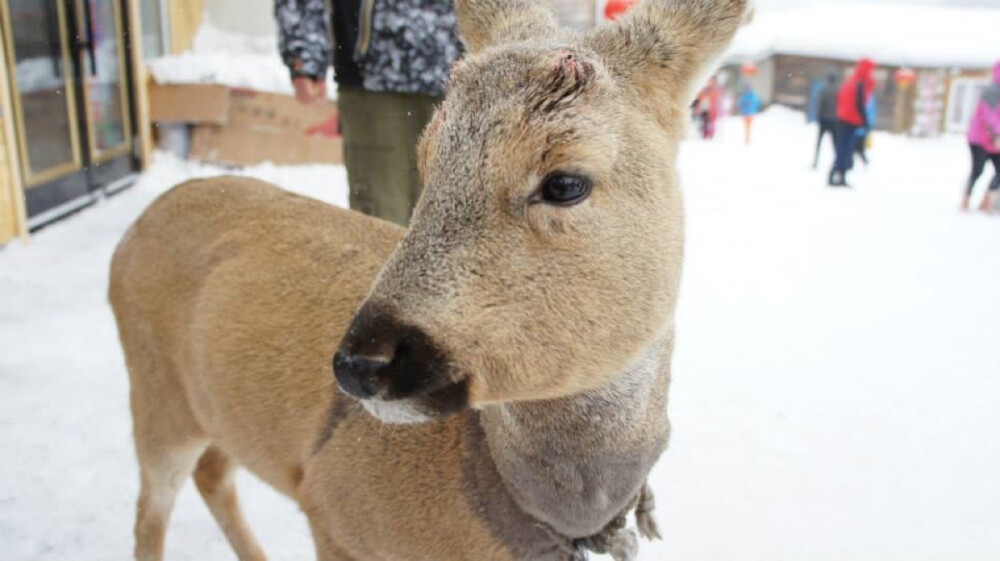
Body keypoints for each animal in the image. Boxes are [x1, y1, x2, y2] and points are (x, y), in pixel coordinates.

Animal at [113, 2, 748, 556]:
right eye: (428, 162)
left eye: (566, 182)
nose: (361, 363)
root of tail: (134, 229)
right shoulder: (330, 511)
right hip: (154, 396)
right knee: (151, 512)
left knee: (214, 476)